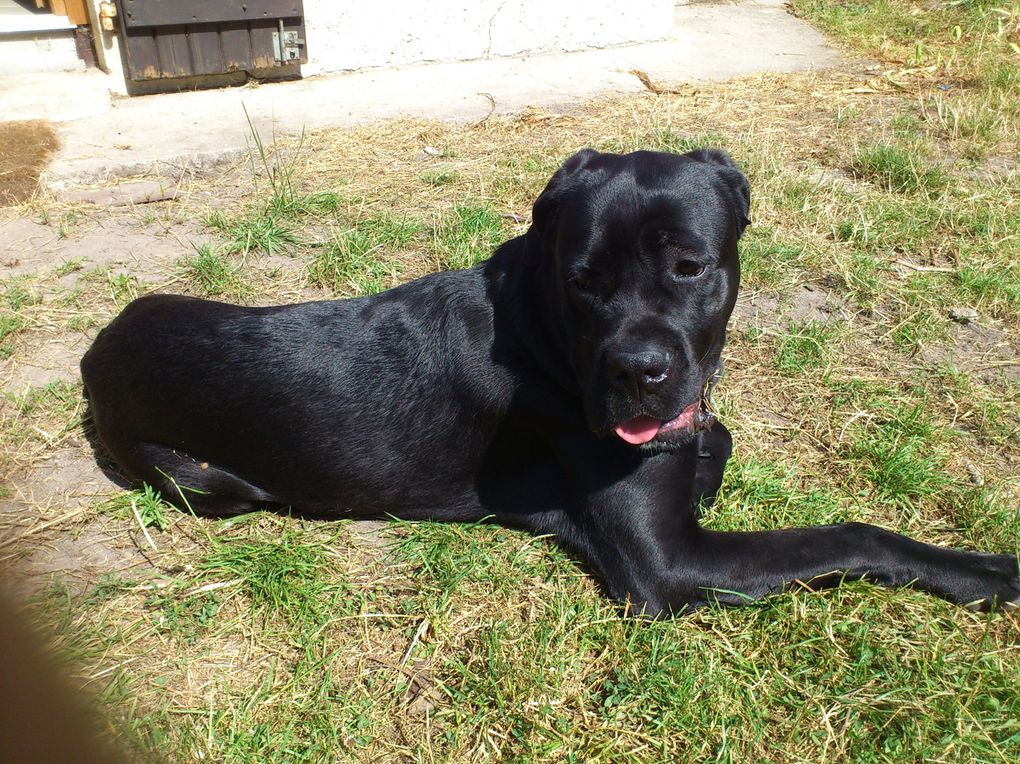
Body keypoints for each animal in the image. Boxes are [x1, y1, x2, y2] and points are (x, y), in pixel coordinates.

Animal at [81, 150, 1020, 612]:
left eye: (688, 266)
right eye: (582, 281)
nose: (639, 373)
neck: (546, 337)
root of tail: (97, 347)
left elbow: (715, 438)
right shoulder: (669, 561)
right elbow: (847, 535)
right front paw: (986, 570)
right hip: (205, 481)